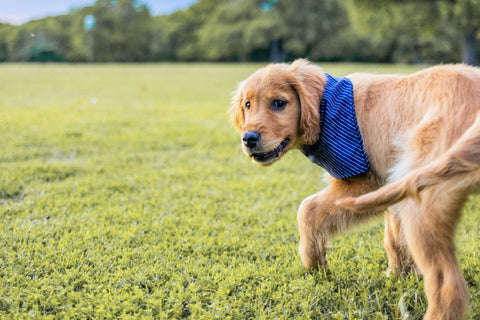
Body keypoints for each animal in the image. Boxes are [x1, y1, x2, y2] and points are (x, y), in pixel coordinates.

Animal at [229, 58, 480, 318]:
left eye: (279, 103)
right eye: (248, 105)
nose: (249, 138)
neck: (327, 105)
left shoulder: (366, 182)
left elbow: (307, 210)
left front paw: (314, 264)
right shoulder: (392, 181)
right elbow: (394, 238)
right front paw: (398, 276)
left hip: (421, 198)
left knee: (448, 285)